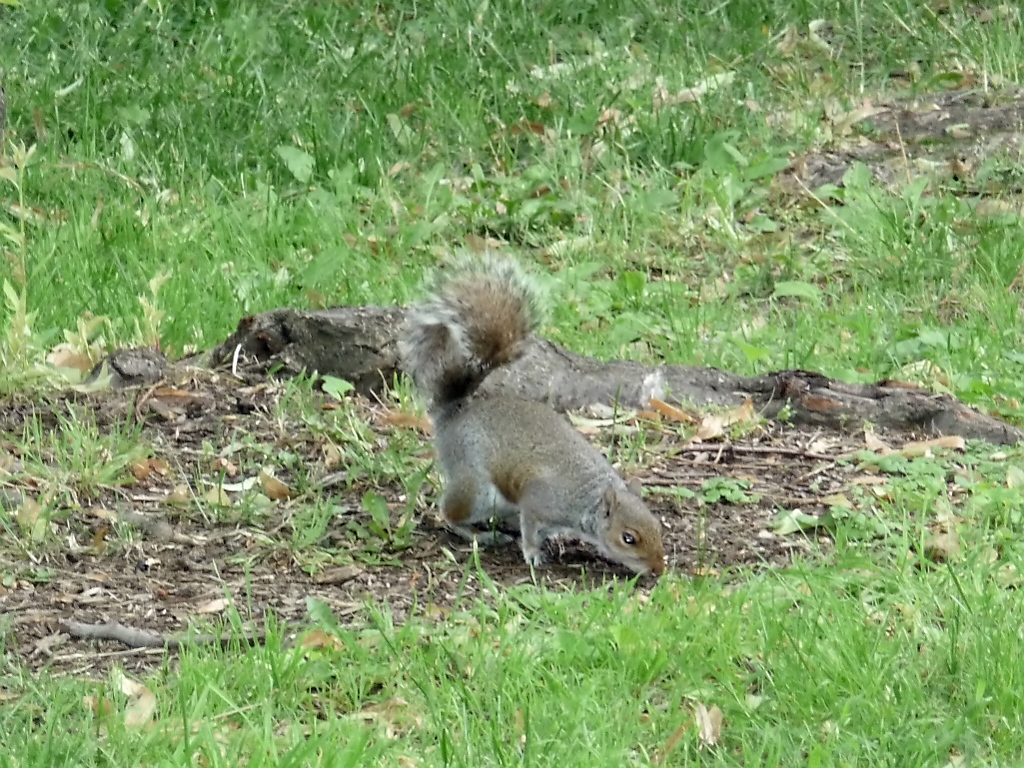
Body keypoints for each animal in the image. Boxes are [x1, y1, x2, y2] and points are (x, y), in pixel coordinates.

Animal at [395, 253, 667, 577]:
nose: (659, 569)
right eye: (628, 538)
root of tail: (453, 413)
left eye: (657, 526)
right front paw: (532, 553)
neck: (587, 499)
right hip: (474, 487)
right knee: (449, 513)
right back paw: (479, 534)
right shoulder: (539, 501)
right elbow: (530, 527)